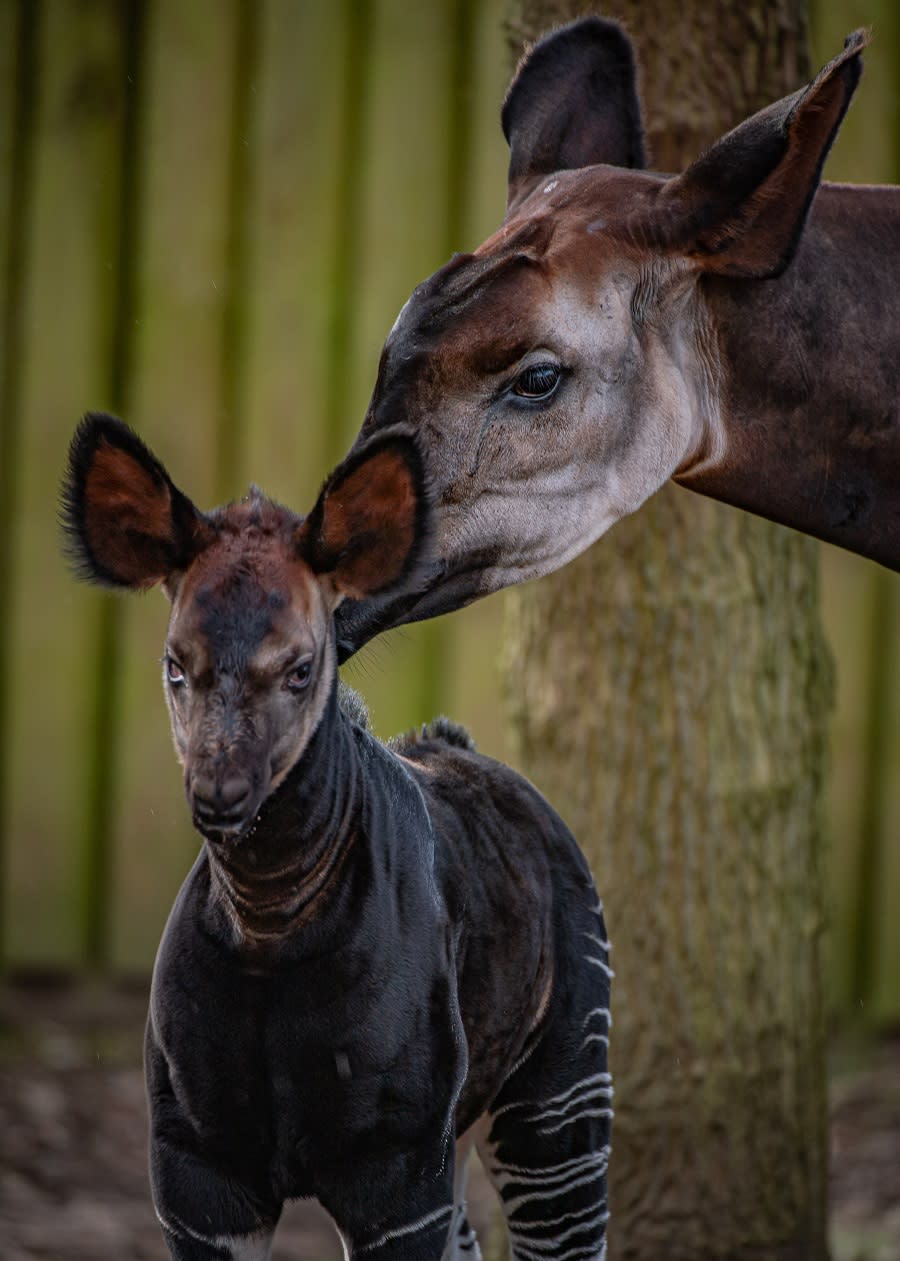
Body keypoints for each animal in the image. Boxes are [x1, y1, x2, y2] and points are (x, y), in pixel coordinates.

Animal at [61, 418, 610, 1261]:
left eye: (300, 668)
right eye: (175, 666)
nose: (219, 795)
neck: (269, 924)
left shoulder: (394, 1166)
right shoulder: (198, 1166)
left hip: (560, 1093)